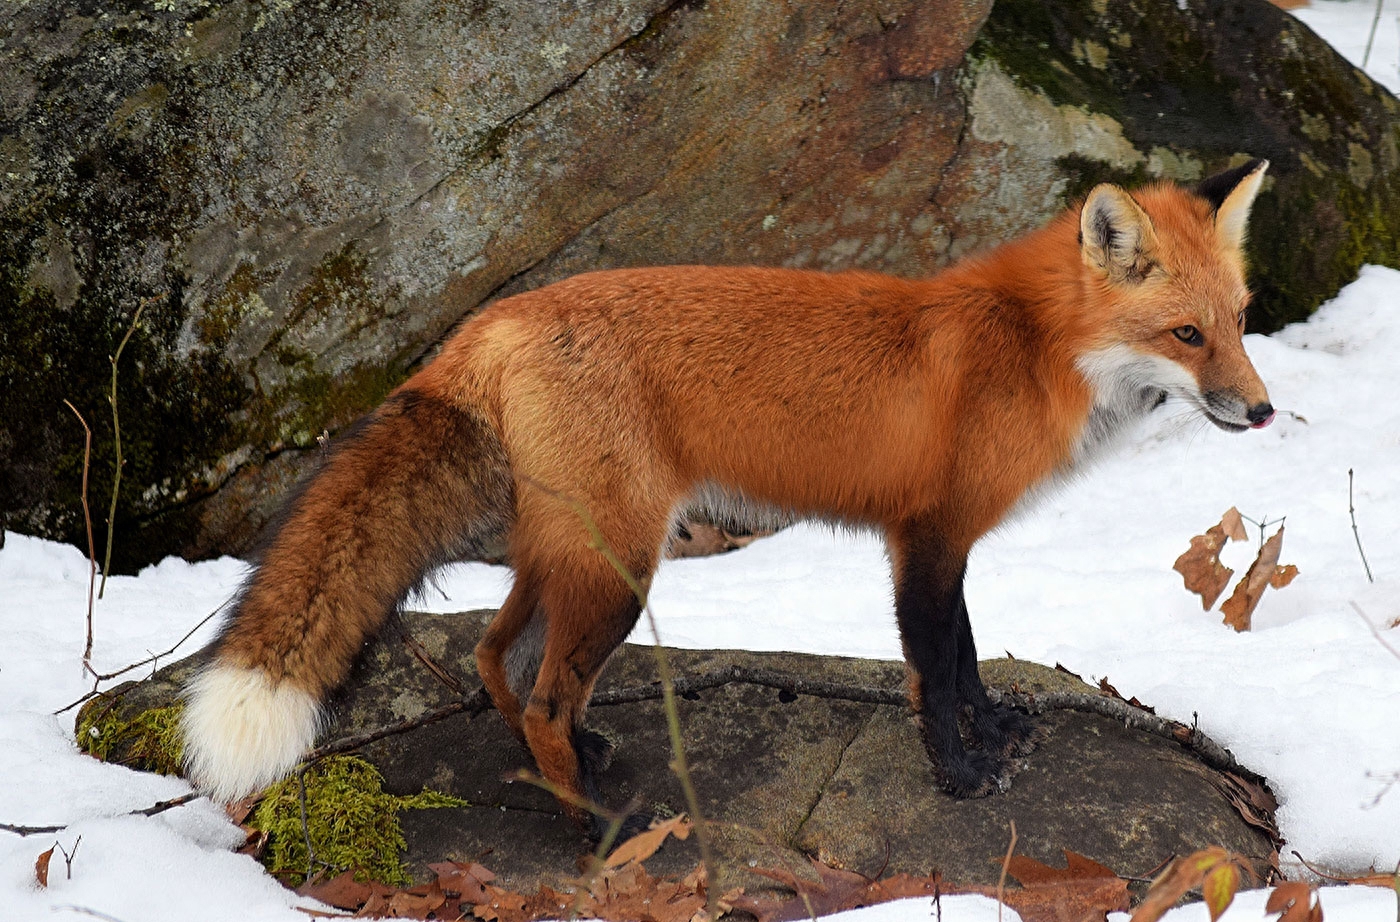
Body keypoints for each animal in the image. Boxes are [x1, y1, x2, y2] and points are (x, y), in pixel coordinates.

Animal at [180, 160, 1276, 845]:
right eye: (1184, 335)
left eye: (1239, 320)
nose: (1264, 411)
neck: (1031, 347)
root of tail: (494, 318)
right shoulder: (922, 539)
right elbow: (934, 671)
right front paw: (960, 777)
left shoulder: (949, 542)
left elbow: (965, 658)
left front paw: (995, 734)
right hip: (622, 568)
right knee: (540, 691)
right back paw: (591, 831)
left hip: (571, 549)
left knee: (499, 657)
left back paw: (572, 765)